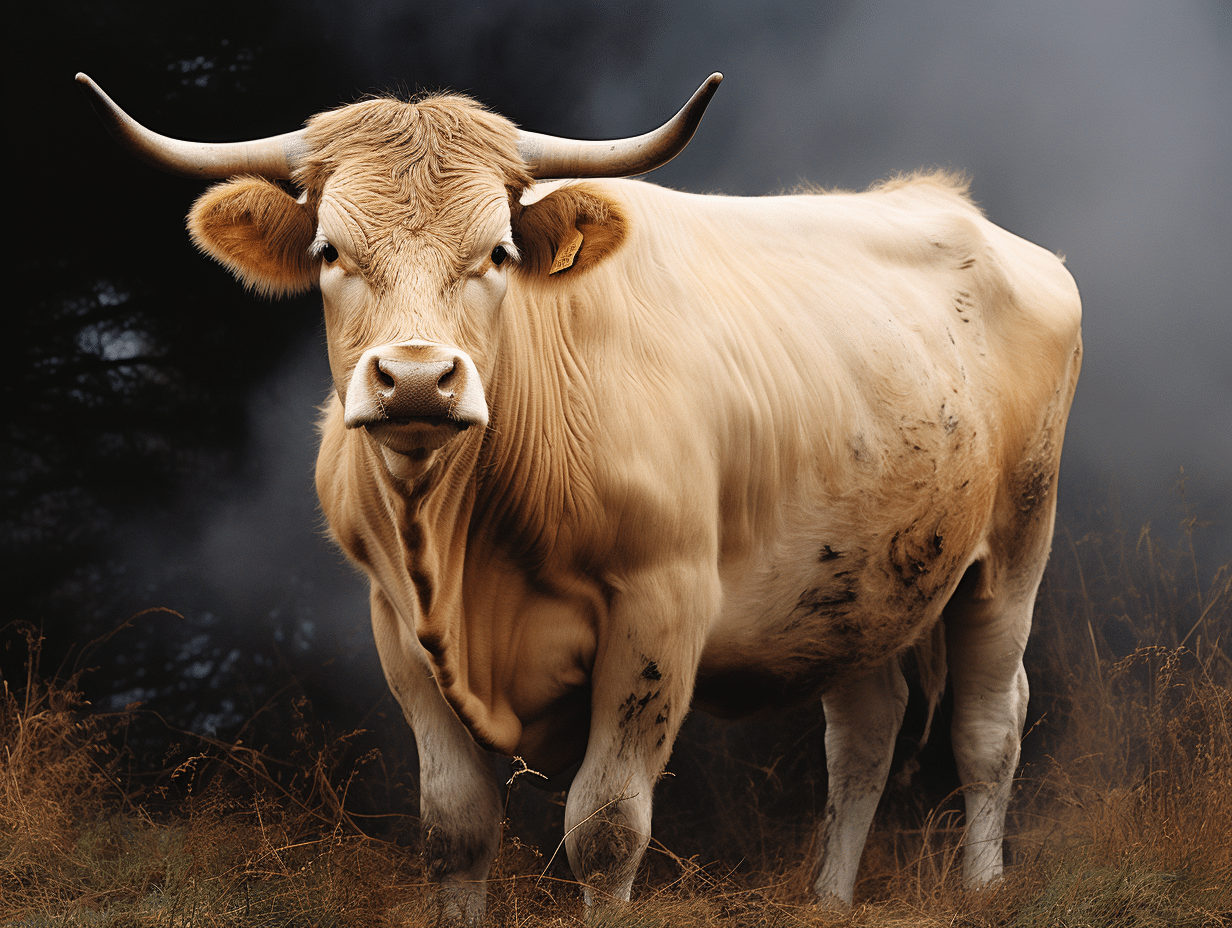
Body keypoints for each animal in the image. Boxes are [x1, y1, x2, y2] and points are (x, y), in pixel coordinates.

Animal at [77, 71, 1082, 921]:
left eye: (497, 251)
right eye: (330, 250)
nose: (416, 380)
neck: (466, 555)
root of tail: (942, 199)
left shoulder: (661, 610)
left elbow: (605, 830)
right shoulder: (395, 622)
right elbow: (454, 827)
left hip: (1014, 551)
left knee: (989, 723)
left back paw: (984, 889)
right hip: (859, 582)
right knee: (864, 734)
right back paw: (829, 901)